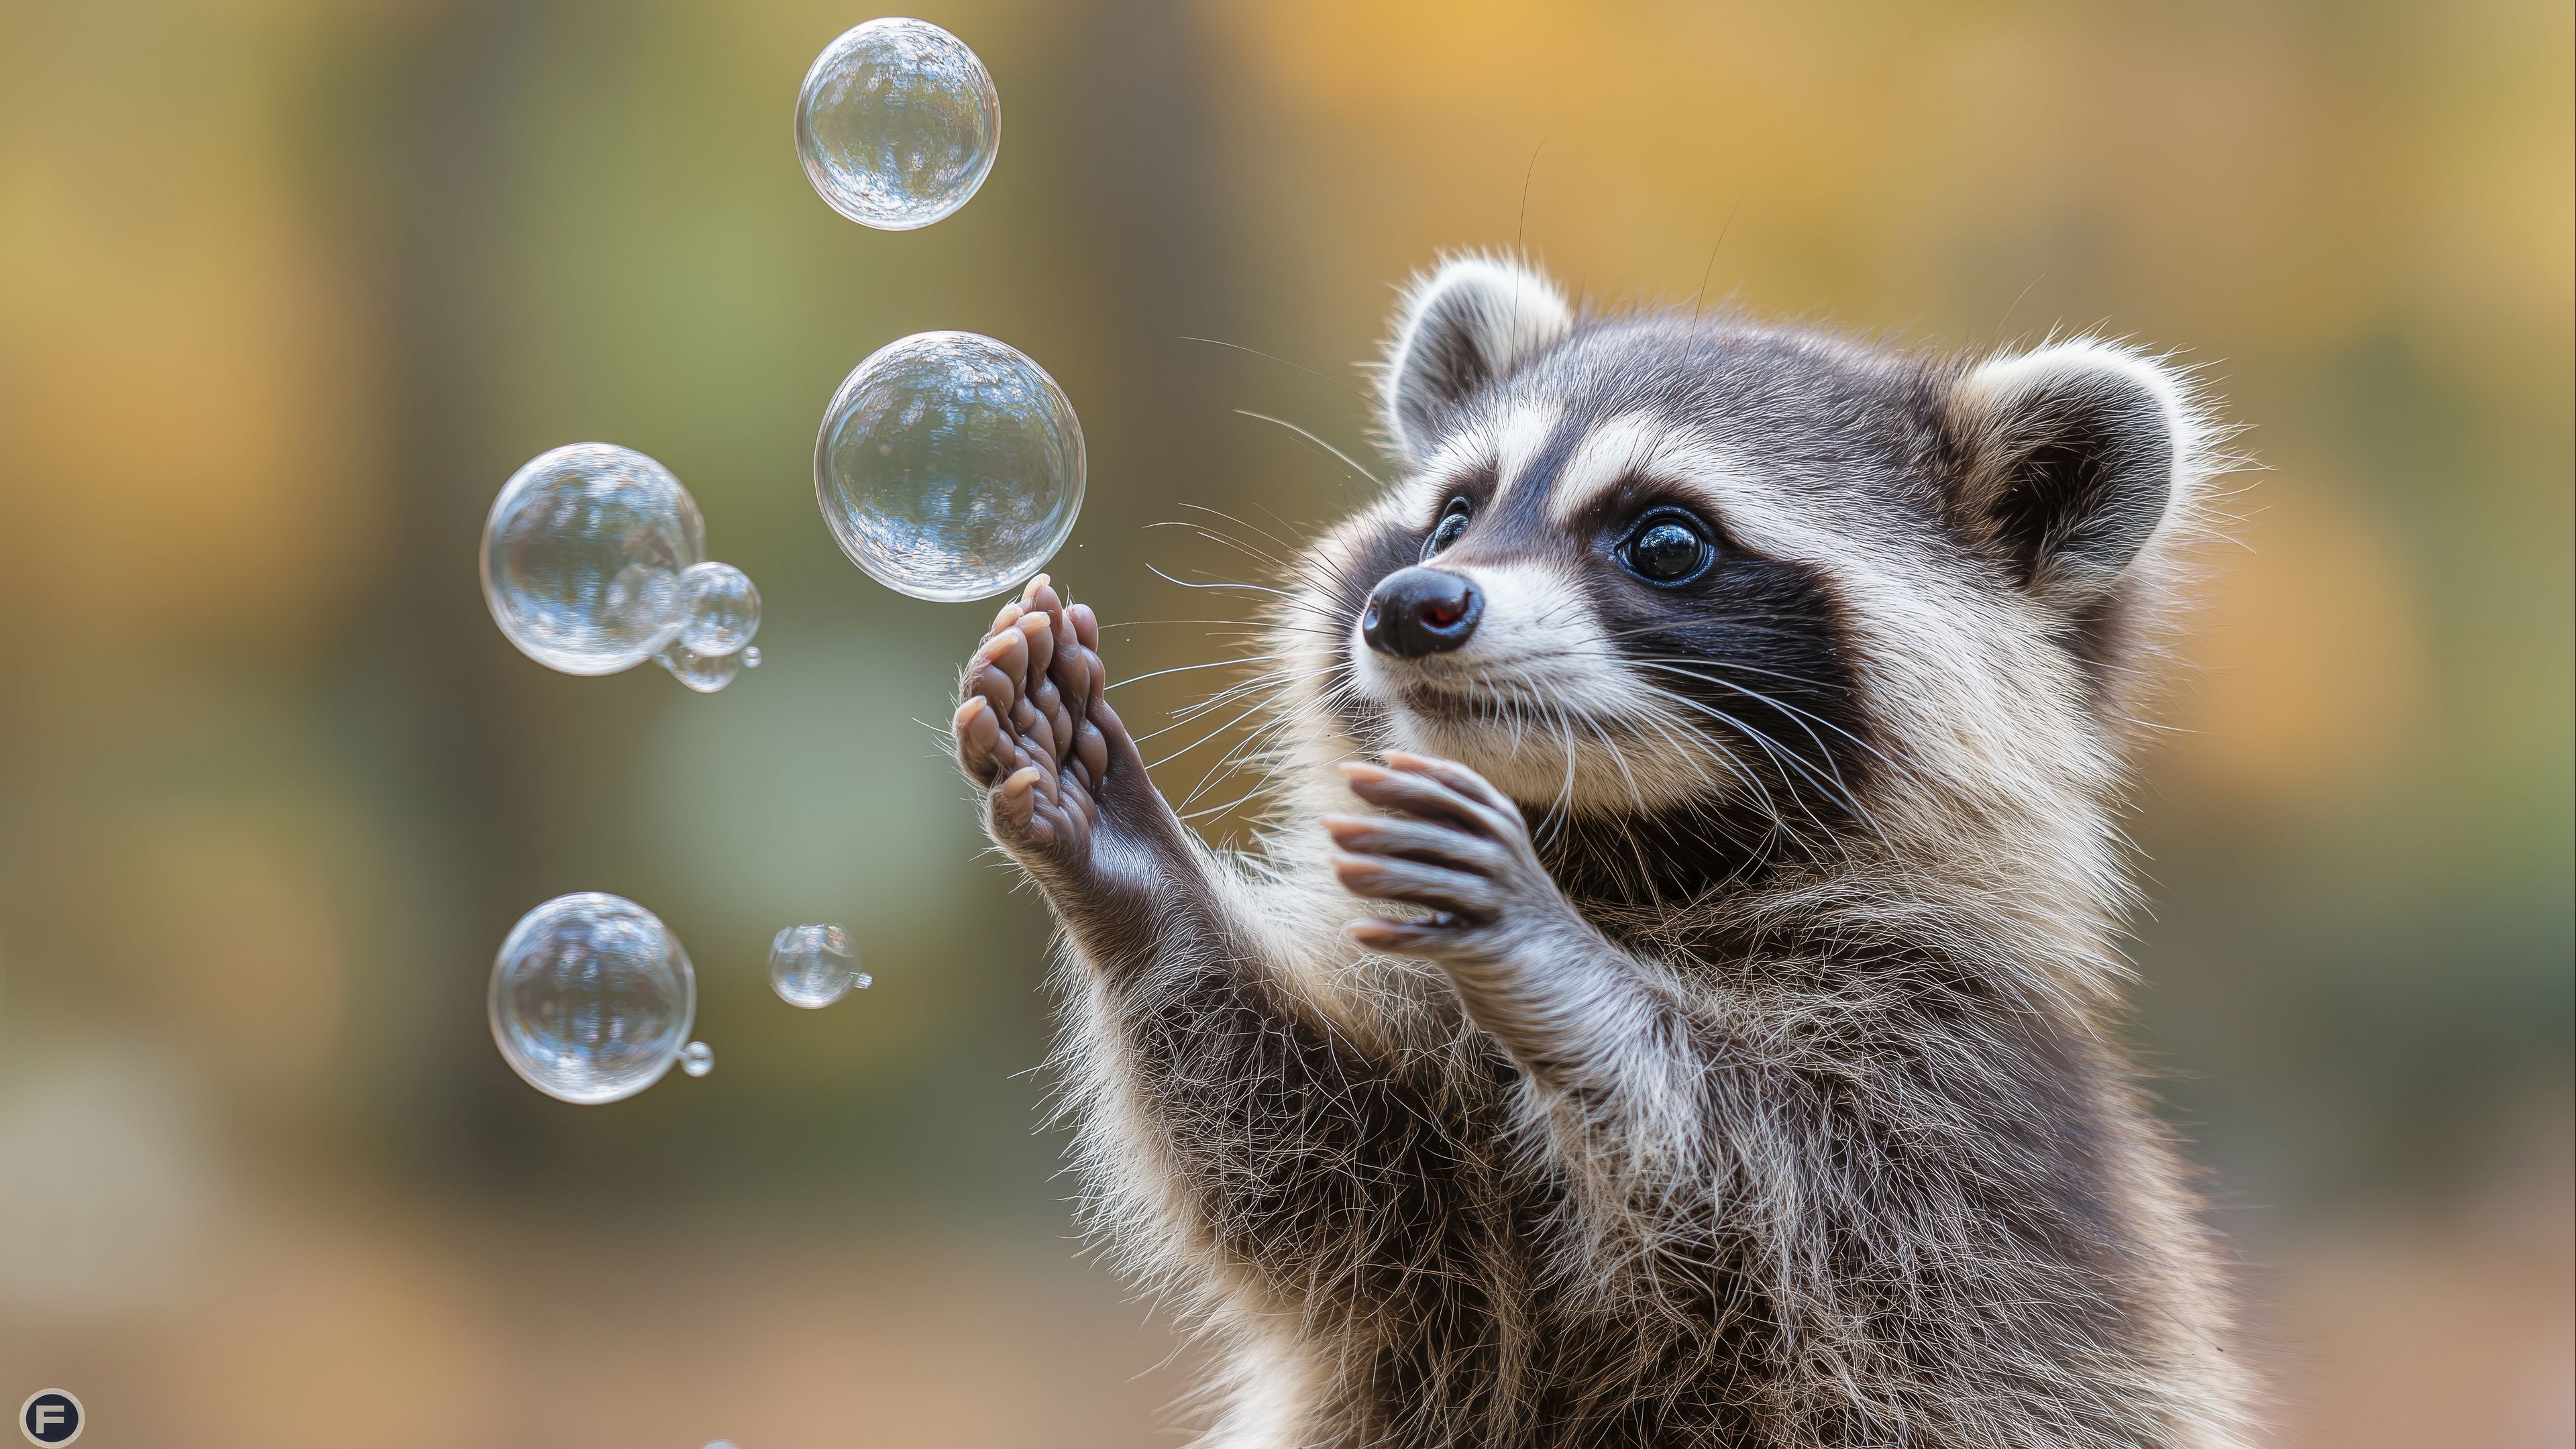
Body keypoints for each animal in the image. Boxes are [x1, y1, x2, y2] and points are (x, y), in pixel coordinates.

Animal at [952, 254, 2252, 1448]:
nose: (1413, 604)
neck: (1617, 855)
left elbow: (1775, 1206)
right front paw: (1134, 875)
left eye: (1667, 541)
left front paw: (1550, 963)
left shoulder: (1959, 1108)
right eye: (1452, 515)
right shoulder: (1428, 1251)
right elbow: (1312, 1165)